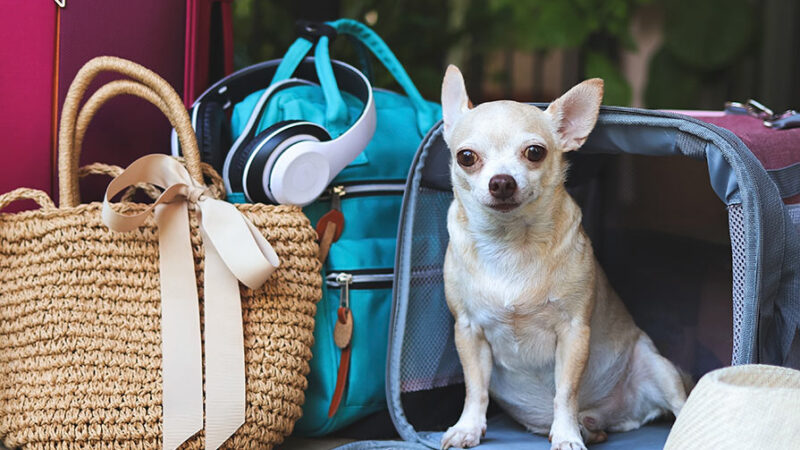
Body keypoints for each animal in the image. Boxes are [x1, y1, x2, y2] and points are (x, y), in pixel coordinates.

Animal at [438, 67, 688, 450]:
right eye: (467, 157)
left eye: (534, 152)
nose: (502, 182)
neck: (510, 244)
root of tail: (617, 416)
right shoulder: (469, 331)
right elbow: (474, 388)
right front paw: (468, 427)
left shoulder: (573, 333)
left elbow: (565, 392)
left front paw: (567, 436)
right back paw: (591, 430)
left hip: (660, 369)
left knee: (682, 404)